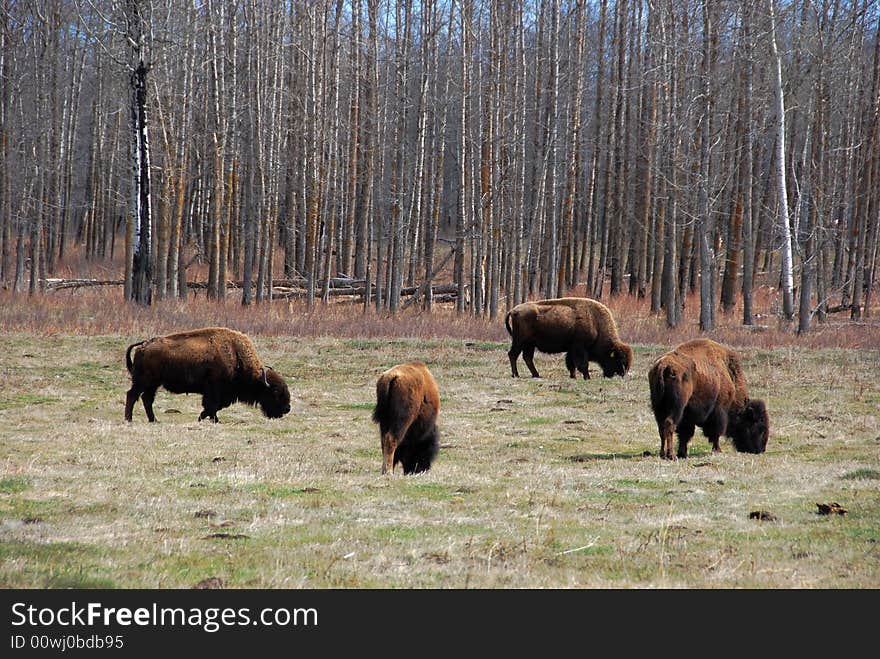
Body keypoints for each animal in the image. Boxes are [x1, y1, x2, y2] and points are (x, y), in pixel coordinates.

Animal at [124, 328, 292, 426]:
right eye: (275, 392)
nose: (287, 408)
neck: (236, 355)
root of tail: (143, 346)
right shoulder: (214, 389)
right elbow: (212, 405)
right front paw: (212, 420)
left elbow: (214, 406)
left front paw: (204, 418)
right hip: (143, 382)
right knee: (132, 395)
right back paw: (129, 419)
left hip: (153, 384)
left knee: (146, 399)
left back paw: (154, 420)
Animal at [502, 296, 632, 378]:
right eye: (618, 359)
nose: (620, 374)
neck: (596, 323)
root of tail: (513, 310)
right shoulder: (580, 347)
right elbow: (582, 364)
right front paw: (587, 377)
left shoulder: (572, 348)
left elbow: (571, 363)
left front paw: (573, 376)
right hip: (520, 341)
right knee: (513, 354)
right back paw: (516, 375)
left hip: (529, 344)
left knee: (527, 357)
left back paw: (536, 375)